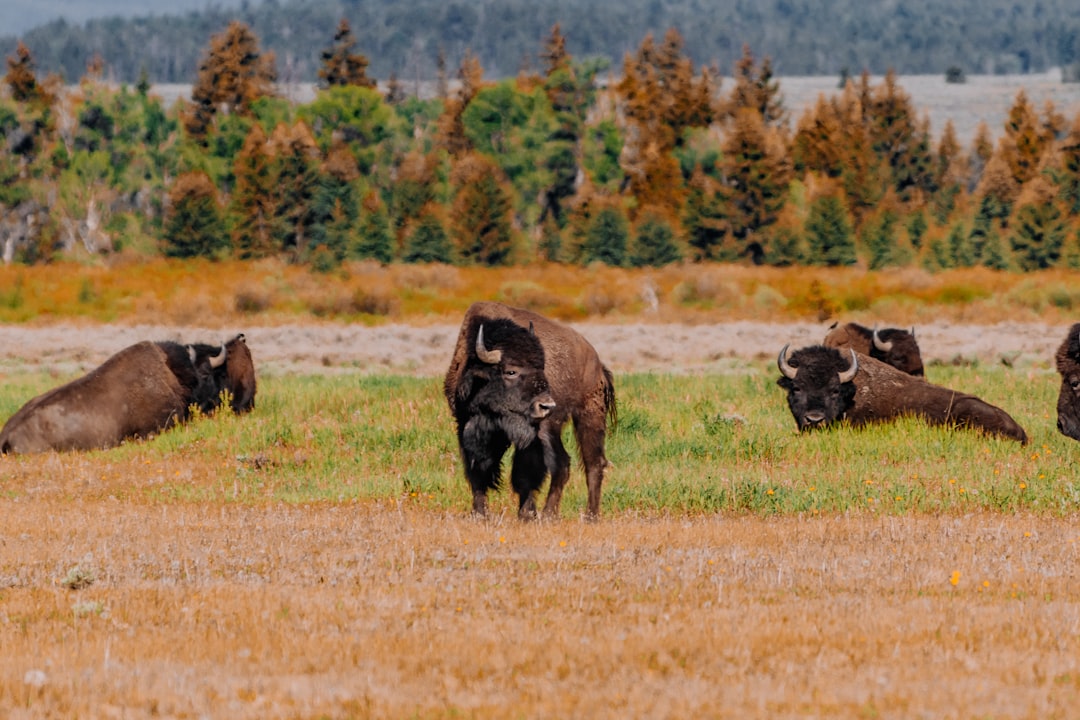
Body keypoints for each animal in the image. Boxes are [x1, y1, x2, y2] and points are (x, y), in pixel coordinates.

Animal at [444, 302, 617, 520]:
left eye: (542, 367)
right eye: (511, 371)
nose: (546, 405)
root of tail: (597, 362)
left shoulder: (531, 437)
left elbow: (525, 474)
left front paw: (527, 514)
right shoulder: (465, 425)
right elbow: (476, 471)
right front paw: (479, 513)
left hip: (585, 416)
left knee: (586, 463)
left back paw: (570, 515)